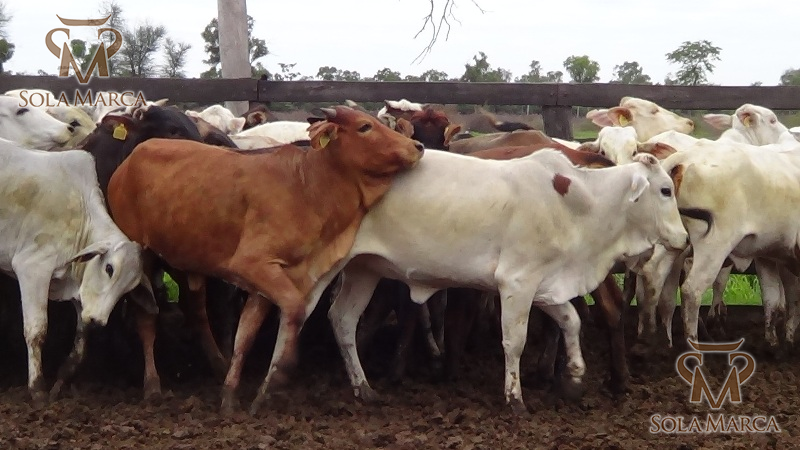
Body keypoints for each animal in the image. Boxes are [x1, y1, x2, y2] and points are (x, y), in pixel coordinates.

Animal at [0, 139, 157, 404]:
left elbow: (81, 343)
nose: (98, 320)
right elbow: (36, 331)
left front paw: (60, 382)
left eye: (129, 288)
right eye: (109, 268)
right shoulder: (32, 268)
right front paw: (38, 389)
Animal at [105, 105, 425, 414]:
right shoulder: (253, 265)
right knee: (146, 316)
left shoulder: (270, 279)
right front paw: (279, 377)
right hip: (142, 257)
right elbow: (294, 310)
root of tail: (131, 160)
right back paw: (152, 385)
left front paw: (231, 395)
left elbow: (245, 334)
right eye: (364, 126)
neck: (309, 185)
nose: (418, 146)